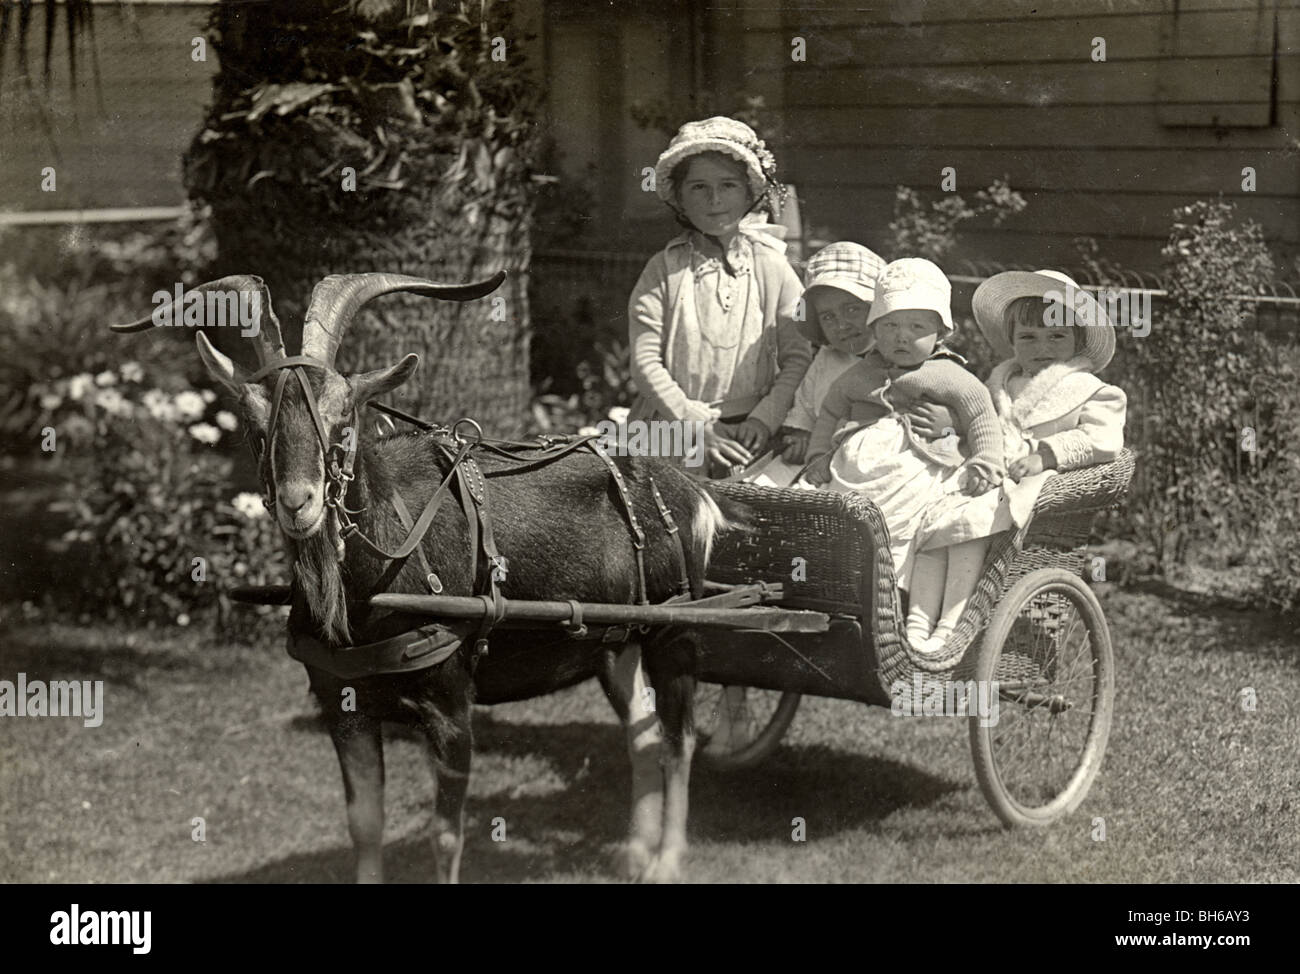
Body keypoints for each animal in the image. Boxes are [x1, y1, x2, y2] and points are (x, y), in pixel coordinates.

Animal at [113, 273, 728, 879]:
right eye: (254, 425)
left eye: (343, 421)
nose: (297, 503)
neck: (377, 582)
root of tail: (692, 493)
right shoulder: (343, 705)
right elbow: (364, 825)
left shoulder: (451, 704)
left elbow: (446, 836)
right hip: (614, 641)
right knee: (642, 730)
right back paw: (635, 853)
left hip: (677, 631)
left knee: (678, 739)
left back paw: (667, 862)